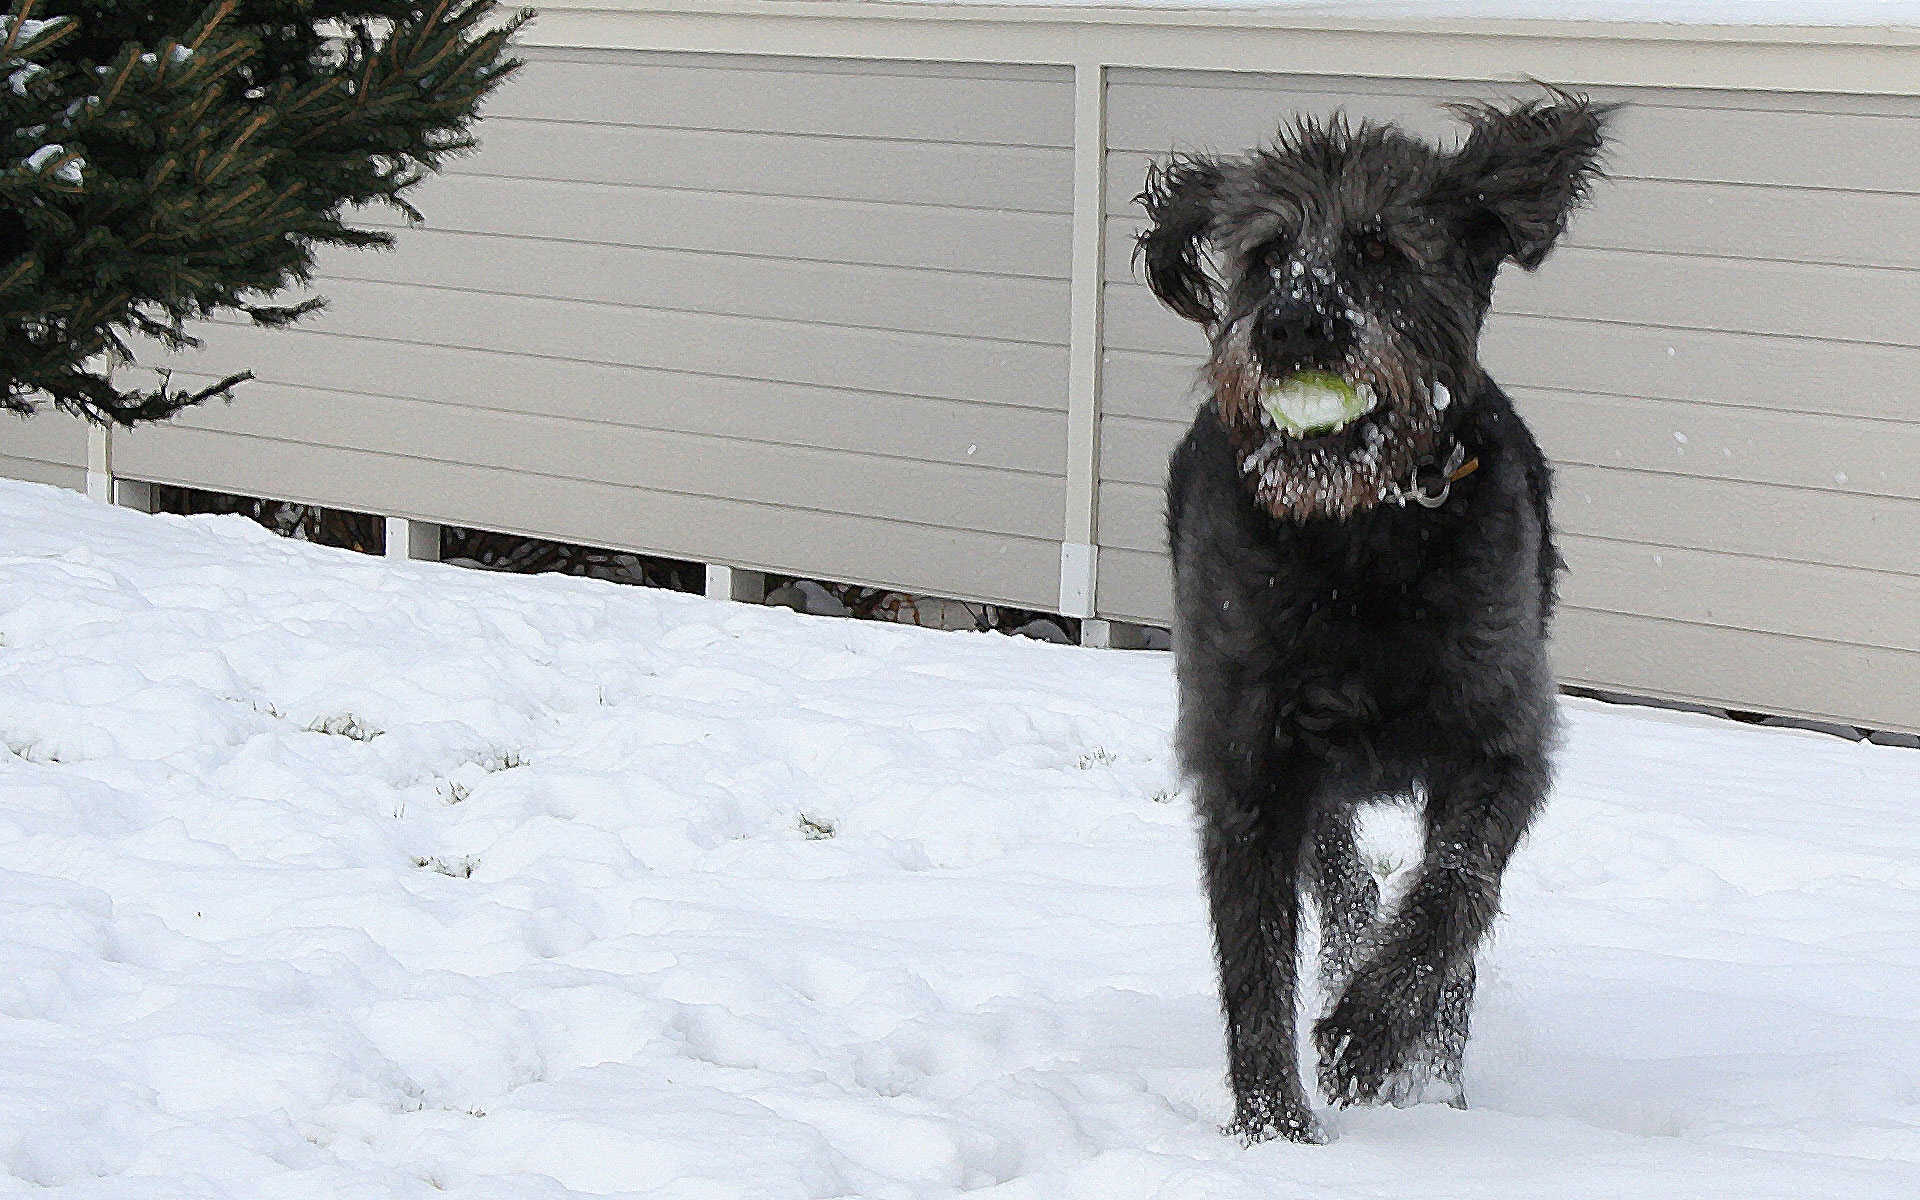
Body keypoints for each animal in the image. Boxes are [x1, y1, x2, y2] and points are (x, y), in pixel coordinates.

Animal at [1144, 93, 1612, 1144]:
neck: (1359, 536)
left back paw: (1430, 1074)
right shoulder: (1248, 760)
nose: (1290, 327)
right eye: (1265, 254)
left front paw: (1370, 1037)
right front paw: (1274, 1133)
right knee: (1341, 877)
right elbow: (1256, 966)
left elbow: (1453, 896)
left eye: (1381, 248)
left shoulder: (1499, 741)